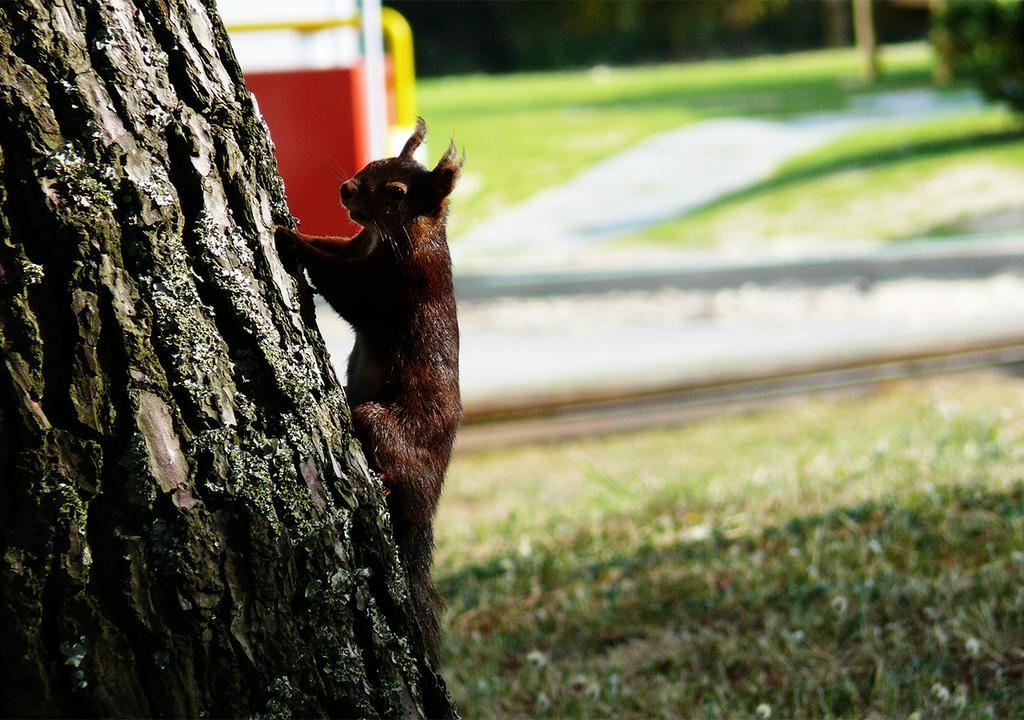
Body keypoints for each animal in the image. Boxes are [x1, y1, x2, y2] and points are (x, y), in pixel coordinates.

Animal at [274, 118, 462, 663]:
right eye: (371, 163)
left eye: (397, 192)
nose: (346, 189)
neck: (392, 237)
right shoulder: (356, 246)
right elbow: (335, 247)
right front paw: (297, 226)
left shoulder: (391, 287)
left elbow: (343, 287)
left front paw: (287, 238)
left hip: (383, 425)